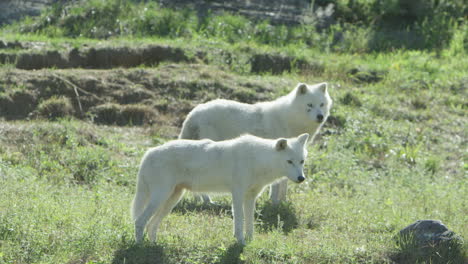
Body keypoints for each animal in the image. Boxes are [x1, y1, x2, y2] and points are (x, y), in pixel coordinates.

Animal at [132, 133, 308, 244]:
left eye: (301, 161)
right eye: (289, 161)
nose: (301, 178)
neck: (258, 160)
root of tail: (148, 152)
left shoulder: (250, 197)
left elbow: (250, 223)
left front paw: (251, 242)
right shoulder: (237, 195)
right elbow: (239, 222)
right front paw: (241, 242)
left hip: (171, 200)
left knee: (151, 225)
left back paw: (153, 245)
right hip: (160, 197)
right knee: (139, 221)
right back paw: (140, 246)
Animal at [179, 82, 332, 204]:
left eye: (322, 104)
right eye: (310, 105)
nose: (320, 116)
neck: (290, 120)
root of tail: (192, 114)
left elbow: (284, 183)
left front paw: (283, 202)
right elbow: (276, 185)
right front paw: (274, 203)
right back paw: (208, 201)